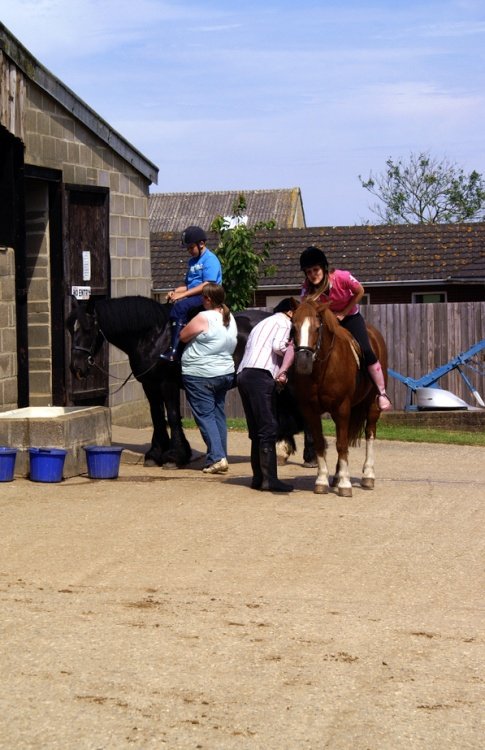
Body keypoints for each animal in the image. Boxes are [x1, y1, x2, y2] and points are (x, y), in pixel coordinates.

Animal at [67, 296, 310, 468]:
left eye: (88, 328)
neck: (154, 335)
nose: (76, 368)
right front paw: (156, 453)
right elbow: (158, 416)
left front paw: (174, 456)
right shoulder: (150, 385)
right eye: (70, 328)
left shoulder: (167, 384)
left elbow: (173, 416)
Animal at [292, 300, 386, 500]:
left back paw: (368, 475)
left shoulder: (342, 408)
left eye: (317, 328)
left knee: (370, 433)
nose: (303, 363)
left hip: (373, 404)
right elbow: (320, 443)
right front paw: (322, 480)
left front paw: (345, 484)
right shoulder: (310, 410)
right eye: (293, 327)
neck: (322, 370)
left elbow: (342, 444)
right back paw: (336, 476)